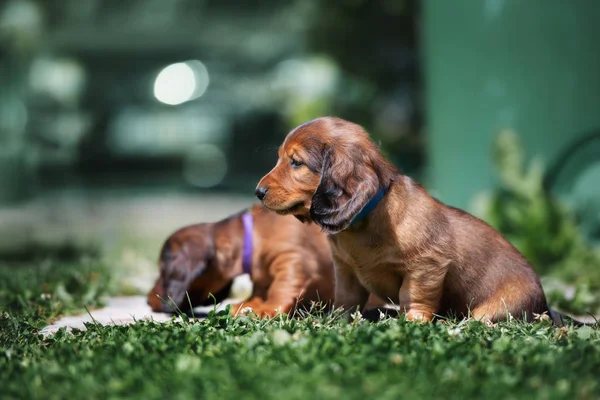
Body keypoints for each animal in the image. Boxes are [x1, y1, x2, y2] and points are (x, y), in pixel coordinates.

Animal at [148, 205, 386, 318]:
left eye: (163, 271)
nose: (148, 301)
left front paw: (268, 309)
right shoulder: (262, 277)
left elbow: (282, 287)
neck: (254, 234)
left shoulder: (293, 259)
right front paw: (250, 304)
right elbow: (261, 291)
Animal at [254, 117, 552, 324]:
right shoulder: (345, 270)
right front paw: (336, 322)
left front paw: (412, 323)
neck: (364, 223)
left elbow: (414, 297)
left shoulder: (427, 267)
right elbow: (347, 300)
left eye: (296, 162)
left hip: (497, 306)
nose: (258, 192)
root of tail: (546, 305)